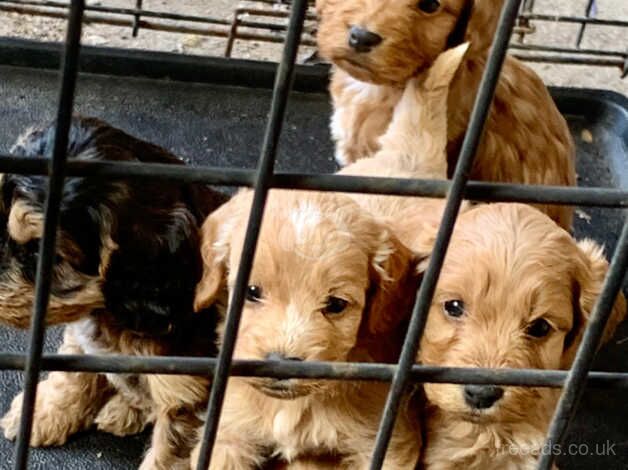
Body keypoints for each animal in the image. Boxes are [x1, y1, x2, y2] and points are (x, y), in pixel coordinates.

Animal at [0, 116, 228, 470]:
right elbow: (72, 377)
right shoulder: (84, 340)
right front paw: (41, 413)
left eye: (40, 251)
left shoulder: (187, 391)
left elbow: (169, 451)